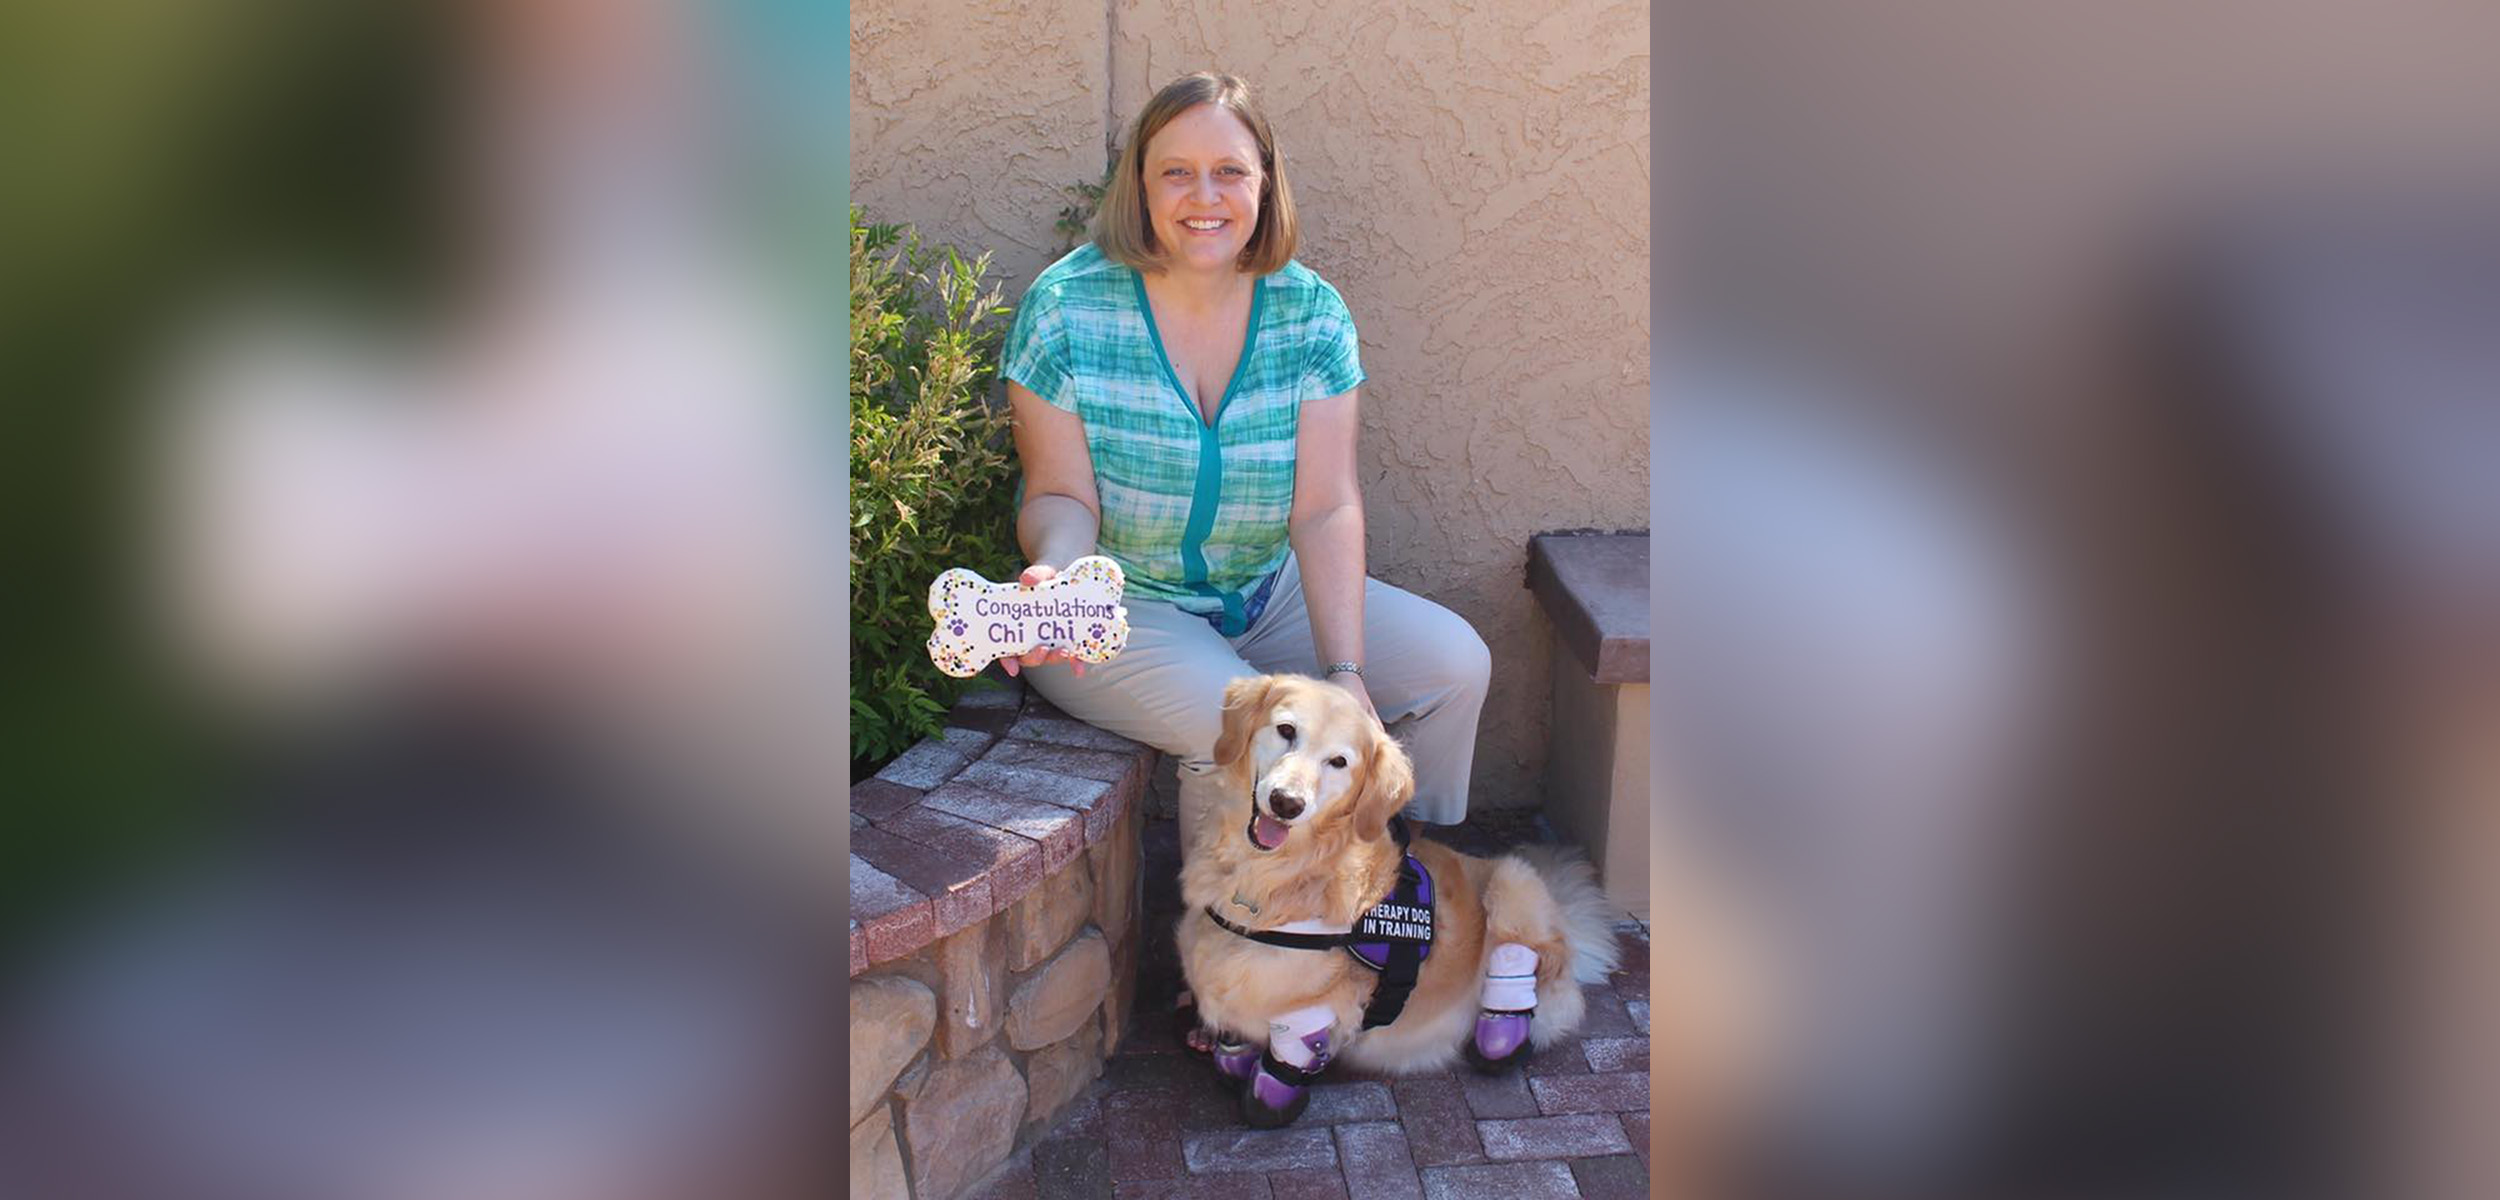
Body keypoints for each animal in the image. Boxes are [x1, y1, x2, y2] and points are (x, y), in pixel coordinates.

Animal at [1170, 675, 1620, 1125]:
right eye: (1286, 730)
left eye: (1338, 762)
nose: (1286, 803)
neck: (1269, 878)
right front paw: (1234, 1055)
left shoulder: (1312, 1006)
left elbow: (1290, 1054)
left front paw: (1272, 1094)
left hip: (1514, 881)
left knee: (1521, 959)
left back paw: (1501, 1034)